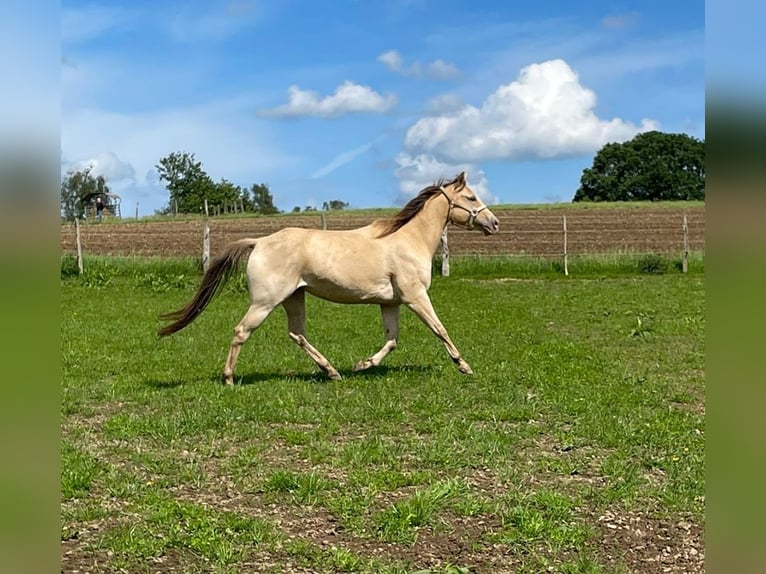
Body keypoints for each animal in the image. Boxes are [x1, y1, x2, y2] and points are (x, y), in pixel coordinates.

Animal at [159, 172, 500, 388]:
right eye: (471, 197)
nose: (494, 223)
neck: (408, 238)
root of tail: (259, 242)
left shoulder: (390, 303)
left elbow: (392, 339)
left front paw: (363, 364)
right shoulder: (416, 297)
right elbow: (440, 329)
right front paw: (464, 366)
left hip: (293, 298)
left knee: (296, 334)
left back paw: (332, 371)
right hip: (265, 301)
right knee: (242, 331)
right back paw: (229, 378)